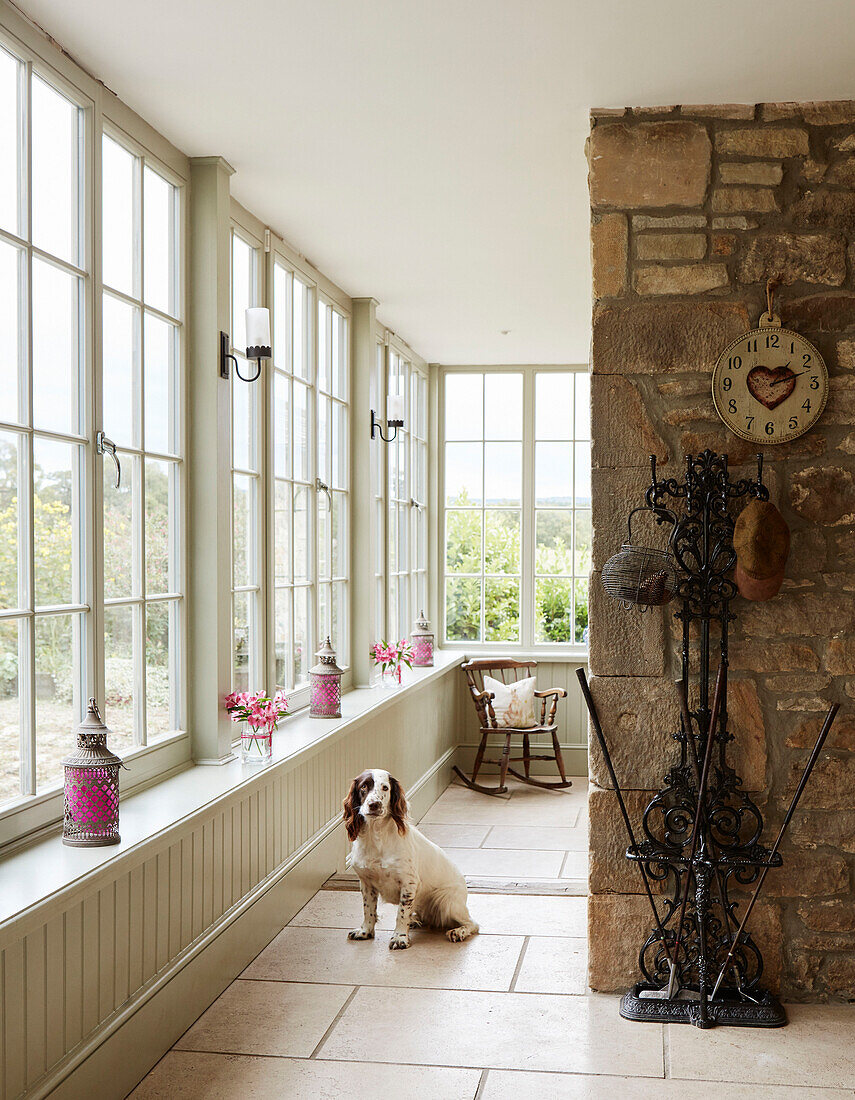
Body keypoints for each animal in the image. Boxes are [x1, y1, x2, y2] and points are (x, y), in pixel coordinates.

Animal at [345, 770, 479, 950]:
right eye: (364, 786)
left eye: (385, 787)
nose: (374, 805)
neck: (377, 836)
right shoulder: (366, 883)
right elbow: (368, 910)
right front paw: (365, 931)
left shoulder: (409, 883)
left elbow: (401, 913)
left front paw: (400, 938)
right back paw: (415, 921)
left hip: (446, 902)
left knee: (472, 923)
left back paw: (458, 932)